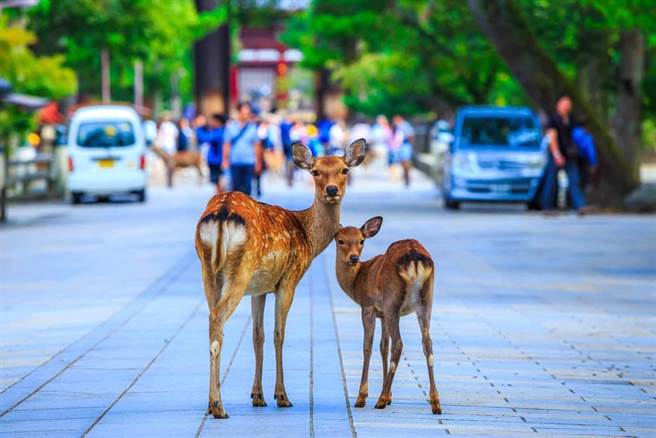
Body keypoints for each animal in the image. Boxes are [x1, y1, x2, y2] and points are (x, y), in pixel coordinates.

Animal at [195, 139, 368, 418]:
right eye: (315, 171)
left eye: (344, 170)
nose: (331, 190)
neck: (308, 237)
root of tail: (221, 214)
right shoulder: (289, 278)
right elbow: (279, 334)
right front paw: (282, 396)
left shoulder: (259, 288)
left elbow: (258, 335)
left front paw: (257, 396)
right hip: (240, 270)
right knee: (218, 318)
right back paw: (219, 406)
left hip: (208, 271)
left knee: (213, 321)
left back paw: (211, 404)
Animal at [334, 218, 440, 414]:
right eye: (341, 240)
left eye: (362, 240)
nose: (354, 258)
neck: (357, 282)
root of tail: (414, 257)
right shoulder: (381, 314)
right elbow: (383, 345)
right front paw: (390, 396)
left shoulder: (368, 306)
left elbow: (367, 345)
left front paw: (362, 397)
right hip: (426, 301)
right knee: (427, 343)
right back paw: (435, 402)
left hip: (393, 301)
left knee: (399, 344)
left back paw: (380, 400)